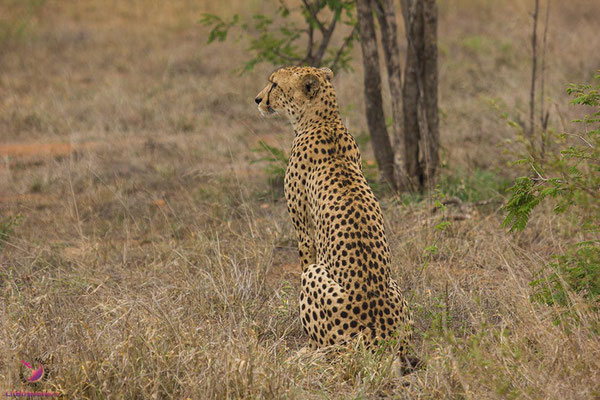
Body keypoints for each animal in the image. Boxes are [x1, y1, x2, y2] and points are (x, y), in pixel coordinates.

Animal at [253, 65, 412, 354]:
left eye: (274, 84)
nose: (258, 99)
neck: (324, 121)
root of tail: (380, 335)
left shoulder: (304, 232)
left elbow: (304, 257)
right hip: (395, 286)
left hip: (315, 278)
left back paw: (307, 349)